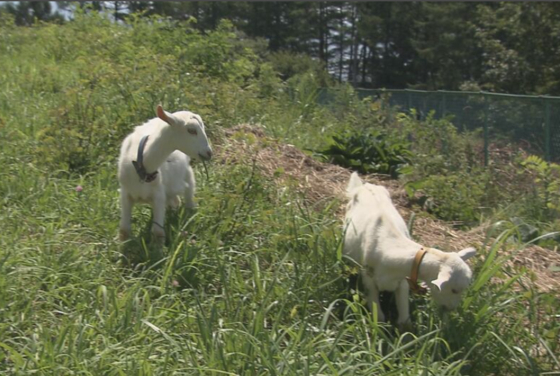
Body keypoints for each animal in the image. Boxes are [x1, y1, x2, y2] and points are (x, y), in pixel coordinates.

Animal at [117, 106, 212, 241]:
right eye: (191, 130)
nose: (209, 153)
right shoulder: (125, 194)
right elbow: (124, 231)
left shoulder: (159, 195)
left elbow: (158, 232)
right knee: (175, 200)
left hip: (187, 173)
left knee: (188, 193)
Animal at [342, 172, 476, 324]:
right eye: (454, 290)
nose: (451, 309)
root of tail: (365, 185)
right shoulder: (368, 280)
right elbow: (379, 316)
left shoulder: (403, 281)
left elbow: (404, 319)